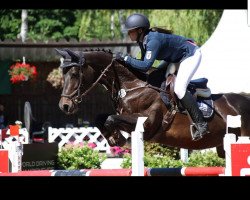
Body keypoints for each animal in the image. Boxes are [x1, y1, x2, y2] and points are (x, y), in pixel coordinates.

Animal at [55, 48, 250, 158]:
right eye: (63, 74)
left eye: (74, 74)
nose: (64, 106)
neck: (133, 86)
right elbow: (100, 118)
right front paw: (114, 138)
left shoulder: (147, 122)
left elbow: (110, 119)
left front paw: (118, 139)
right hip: (223, 148)